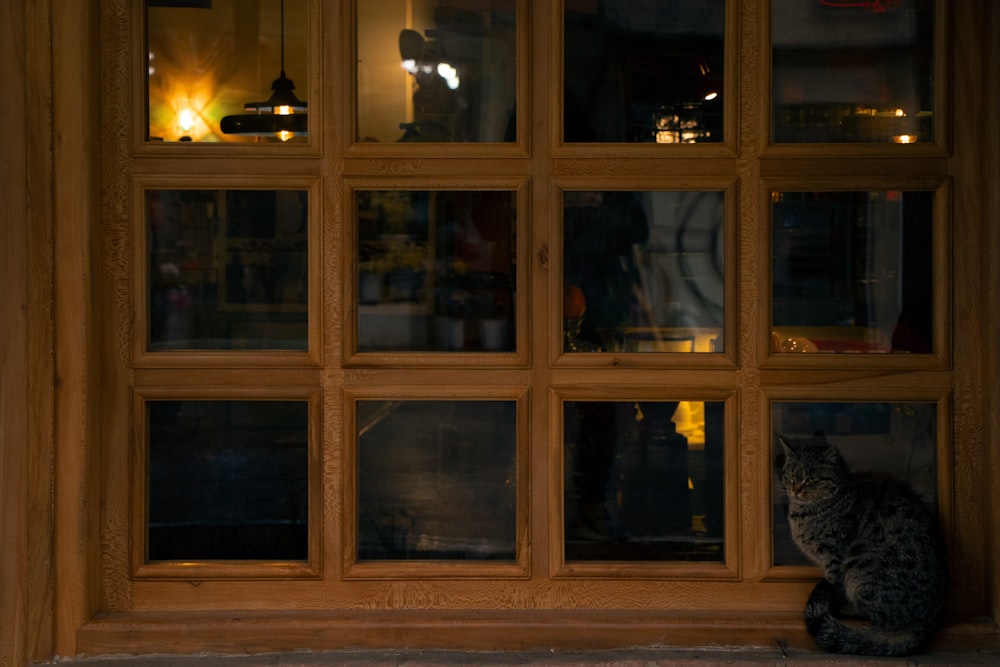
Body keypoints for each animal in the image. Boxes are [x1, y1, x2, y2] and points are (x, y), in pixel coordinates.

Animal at [776, 434, 948, 656]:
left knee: (874, 616)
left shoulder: (834, 557)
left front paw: (834, 603)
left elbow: (835, 585)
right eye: (790, 475)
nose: (795, 490)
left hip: (861, 564)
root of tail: (923, 626)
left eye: (810, 479)